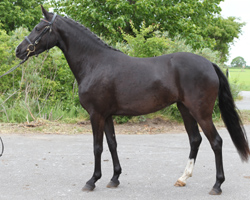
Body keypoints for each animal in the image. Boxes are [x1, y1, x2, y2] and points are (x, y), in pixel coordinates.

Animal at [15, 6, 250, 195]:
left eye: (39, 28)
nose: (18, 51)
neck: (95, 63)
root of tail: (209, 64)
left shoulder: (96, 115)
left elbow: (97, 147)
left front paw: (92, 181)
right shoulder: (107, 115)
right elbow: (112, 144)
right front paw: (114, 178)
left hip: (201, 112)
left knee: (216, 142)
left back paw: (217, 185)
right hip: (185, 109)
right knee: (195, 140)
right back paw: (182, 178)